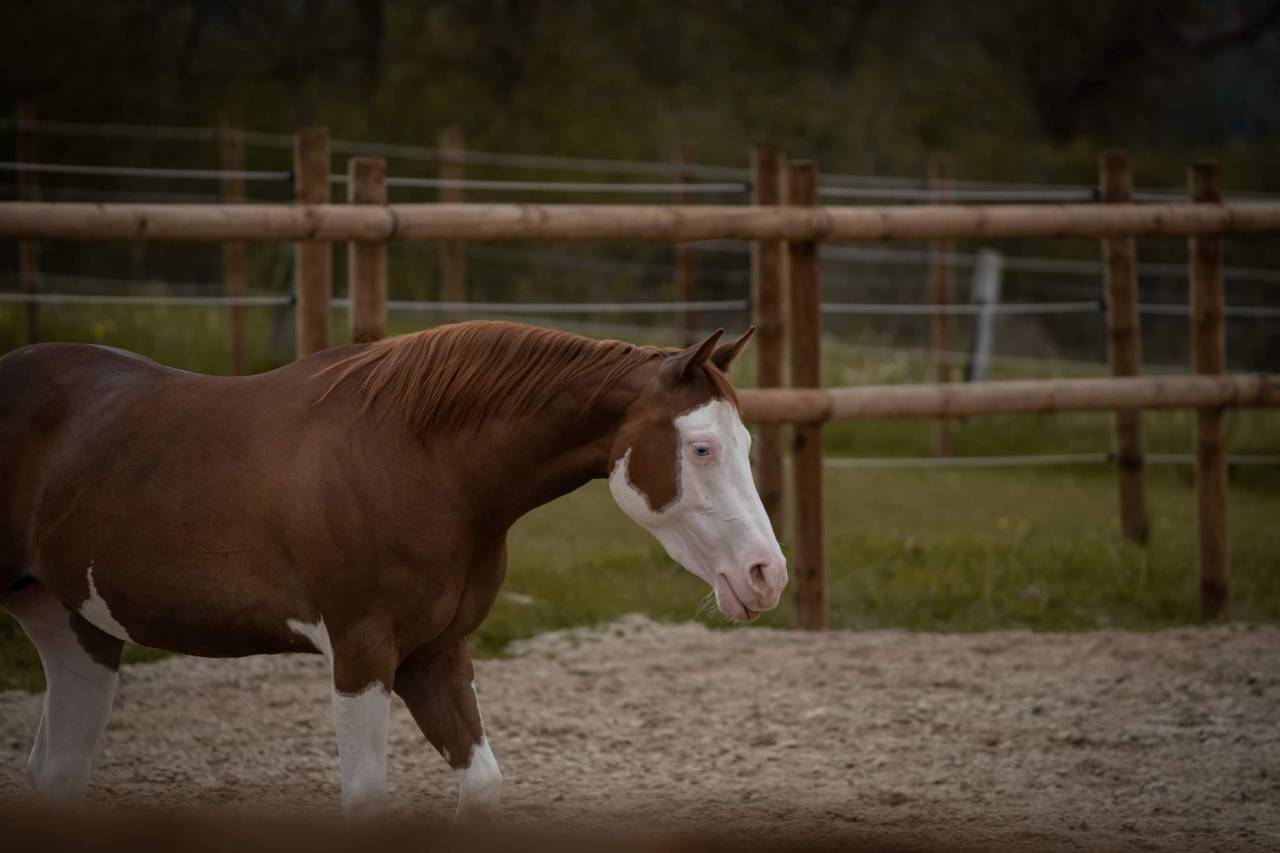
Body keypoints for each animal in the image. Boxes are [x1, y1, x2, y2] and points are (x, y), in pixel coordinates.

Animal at [0, 320, 787, 819]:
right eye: (701, 448)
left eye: (746, 442)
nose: (766, 575)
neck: (418, 462)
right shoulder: (361, 653)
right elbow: (368, 801)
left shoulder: (435, 656)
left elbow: (483, 787)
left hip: (78, 633)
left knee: (58, 772)